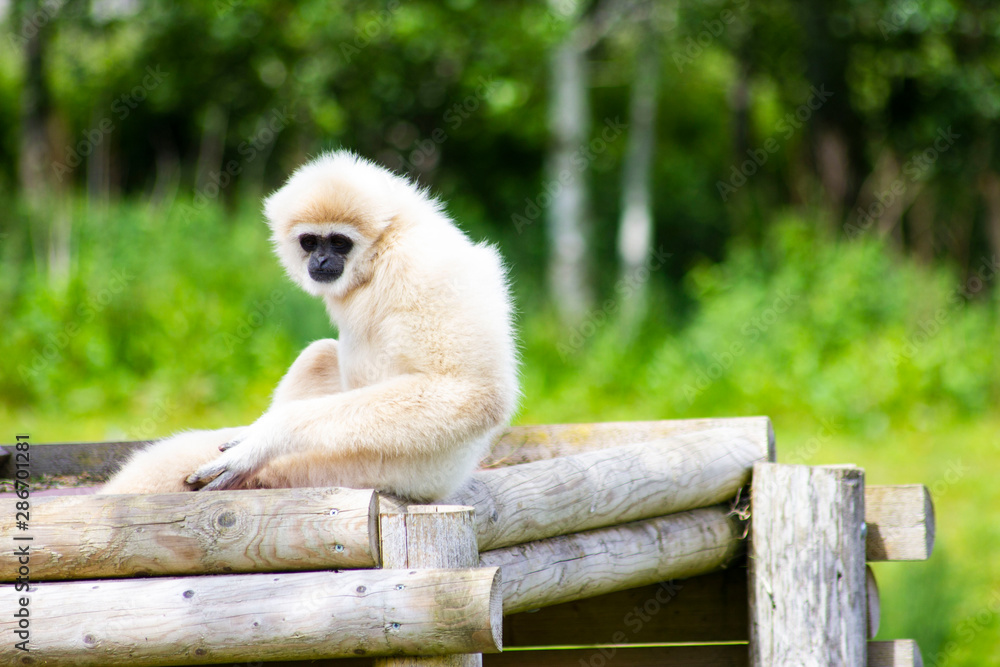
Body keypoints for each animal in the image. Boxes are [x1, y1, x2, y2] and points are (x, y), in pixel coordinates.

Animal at [101, 150, 519, 501]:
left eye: (339, 242)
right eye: (309, 241)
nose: (320, 260)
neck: (383, 251)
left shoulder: (425, 269)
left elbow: (471, 392)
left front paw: (264, 438)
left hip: (368, 468)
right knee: (319, 353)